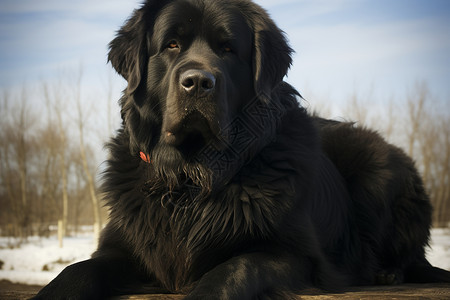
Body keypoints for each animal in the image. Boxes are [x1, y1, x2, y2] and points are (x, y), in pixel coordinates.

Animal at [36, 0, 450, 298]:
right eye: (171, 45)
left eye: (227, 49)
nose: (198, 82)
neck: (191, 176)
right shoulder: (121, 246)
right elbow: (75, 272)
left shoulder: (295, 254)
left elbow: (234, 269)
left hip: (378, 167)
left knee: (411, 257)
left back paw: (387, 271)